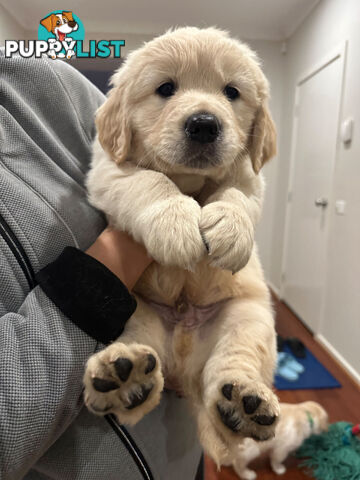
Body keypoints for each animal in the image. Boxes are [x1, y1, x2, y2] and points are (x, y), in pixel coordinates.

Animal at [83, 27, 278, 464]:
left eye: (231, 92)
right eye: (165, 89)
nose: (204, 124)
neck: (190, 178)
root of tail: (184, 369)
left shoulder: (251, 176)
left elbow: (236, 194)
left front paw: (230, 229)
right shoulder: (109, 170)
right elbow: (150, 181)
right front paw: (175, 224)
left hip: (247, 317)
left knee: (231, 366)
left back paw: (244, 402)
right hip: (137, 310)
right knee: (141, 360)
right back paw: (124, 376)